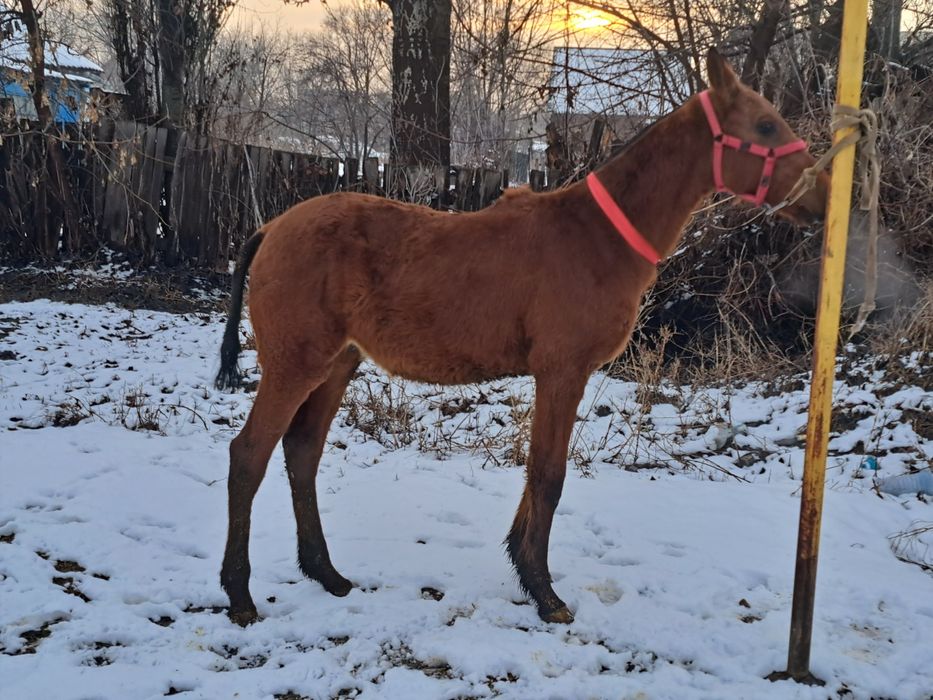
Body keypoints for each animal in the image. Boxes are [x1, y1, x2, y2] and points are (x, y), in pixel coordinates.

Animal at [214, 49, 828, 627]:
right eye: (766, 126)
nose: (821, 197)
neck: (595, 237)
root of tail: (271, 228)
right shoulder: (563, 371)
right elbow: (549, 477)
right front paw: (544, 591)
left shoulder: (554, 375)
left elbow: (536, 475)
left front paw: (522, 565)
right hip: (295, 365)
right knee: (249, 456)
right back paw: (240, 595)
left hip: (337, 363)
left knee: (302, 453)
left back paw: (326, 573)